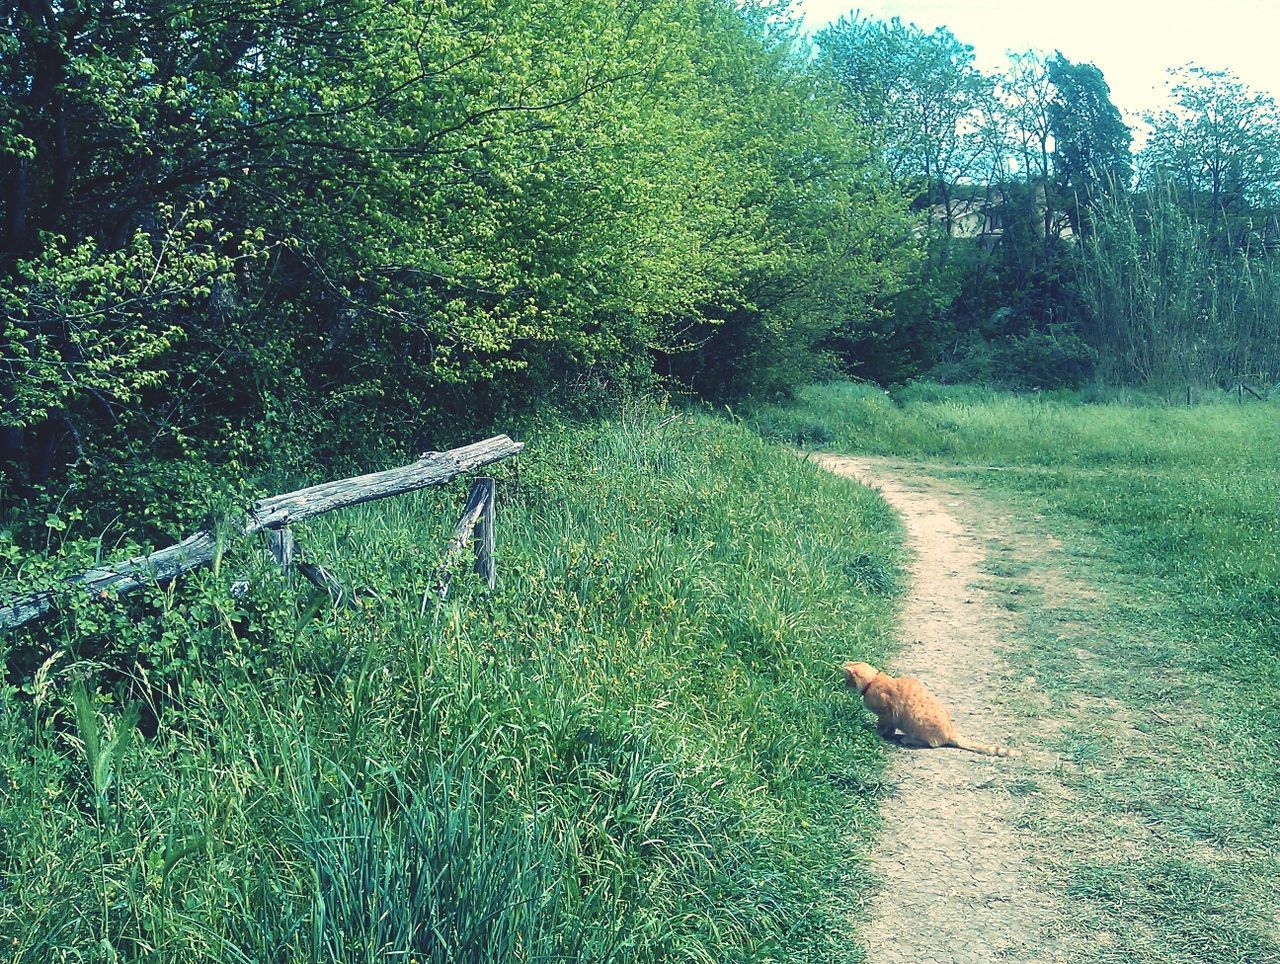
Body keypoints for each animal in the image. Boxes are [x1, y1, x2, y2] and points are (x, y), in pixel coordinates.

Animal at [839, 660, 1018, 757]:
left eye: (847, 680)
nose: (842, 685)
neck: (873, 681)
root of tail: (950, 730)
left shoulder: (886, 714)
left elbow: (883, 727)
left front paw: (878, 734)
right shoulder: (890, 718)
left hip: (916, 720)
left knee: (934, 743)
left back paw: (907, 739)